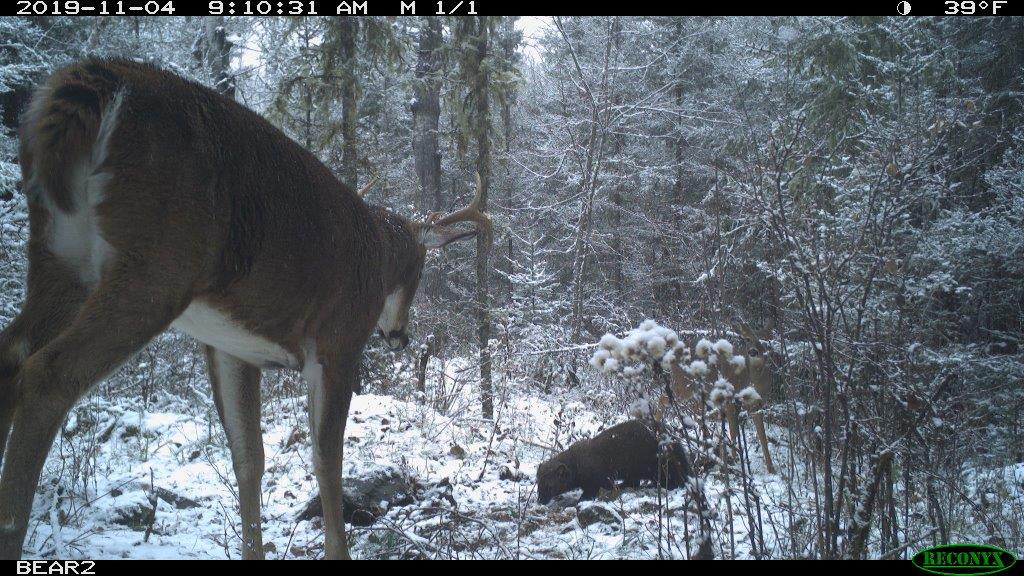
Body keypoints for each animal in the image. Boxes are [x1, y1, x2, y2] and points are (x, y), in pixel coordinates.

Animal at [0, 58, 491, 560]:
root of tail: (91, 82)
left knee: (11, 351)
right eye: (420, 266)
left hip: (60, 258)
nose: (400, 336)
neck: (378, 254)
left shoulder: (231, 345)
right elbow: (326, 459)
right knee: (50, 374)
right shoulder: (337, 342)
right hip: (154, 267)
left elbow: (248, 458)